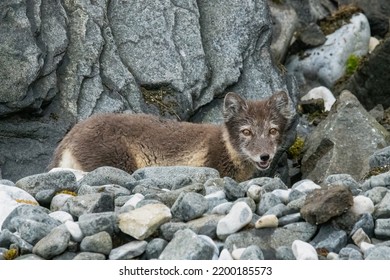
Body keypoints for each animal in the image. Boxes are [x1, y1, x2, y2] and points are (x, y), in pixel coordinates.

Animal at [51, 92, 296, 182]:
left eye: (273, 130)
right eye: (246, 131)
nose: (265, 156)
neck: (227, 147)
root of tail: (68, 139)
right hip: (120, 162)